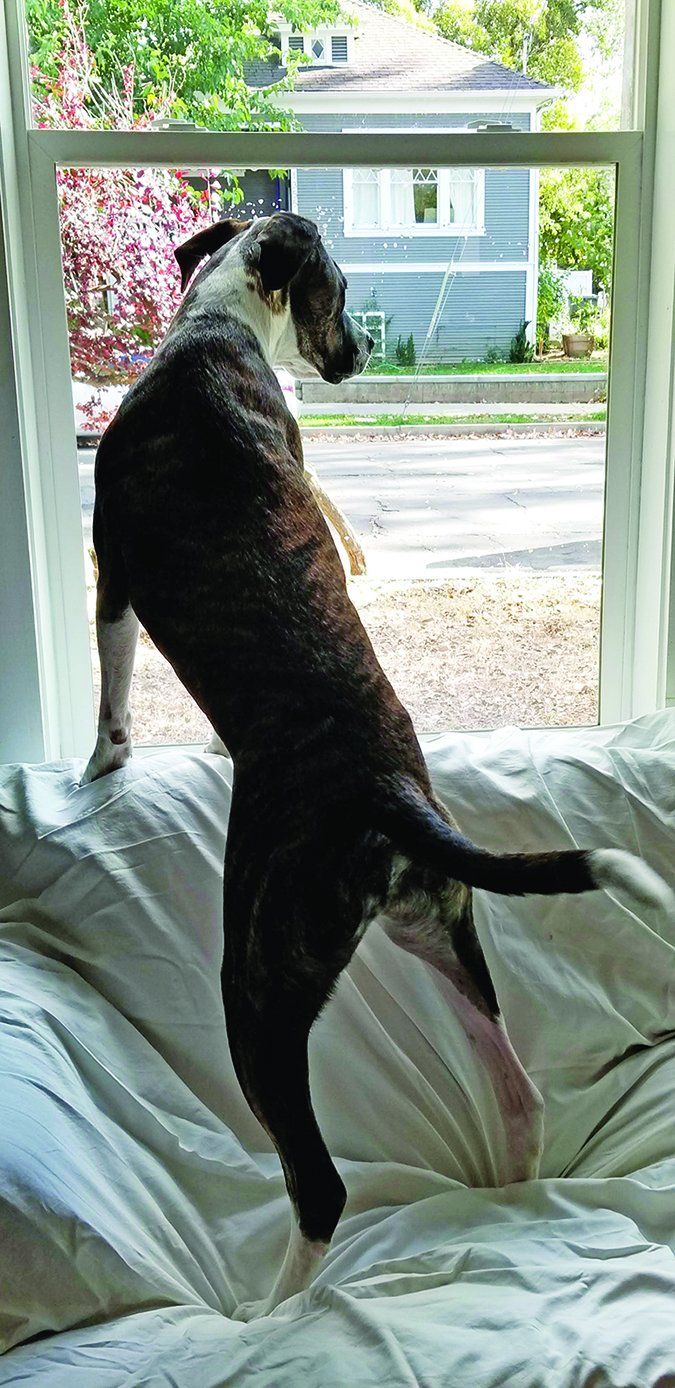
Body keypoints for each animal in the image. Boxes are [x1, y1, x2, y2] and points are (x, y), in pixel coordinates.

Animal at [81, 210, 672, 1315]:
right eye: (344, 293)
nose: (356, 356)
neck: (219, 326)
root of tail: (393, 795)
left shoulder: (113, 573)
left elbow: (113, 696)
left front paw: (98, 769)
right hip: (437, 927)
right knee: (519, 1092)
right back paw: (512, 1182)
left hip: (260, 984)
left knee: (318, 1182)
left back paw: (266, 1311)